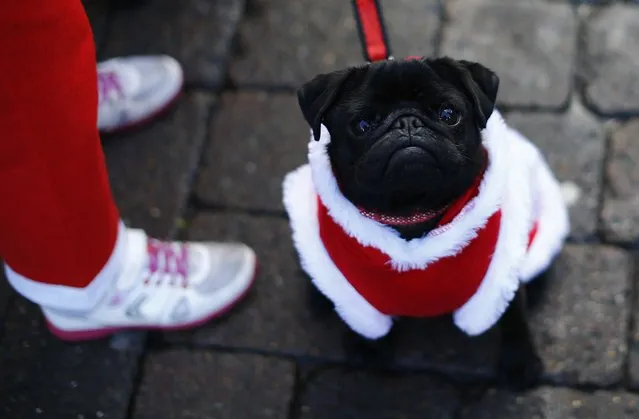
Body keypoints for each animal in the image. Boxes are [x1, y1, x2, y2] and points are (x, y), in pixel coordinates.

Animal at [288, 55, 568, 390]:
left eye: (448, 114)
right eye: (363, 124)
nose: (407, 122)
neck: (414, 212)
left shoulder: (502, 272)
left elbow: (514, 316)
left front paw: (519, 361)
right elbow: (362, 315)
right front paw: (368, 347)